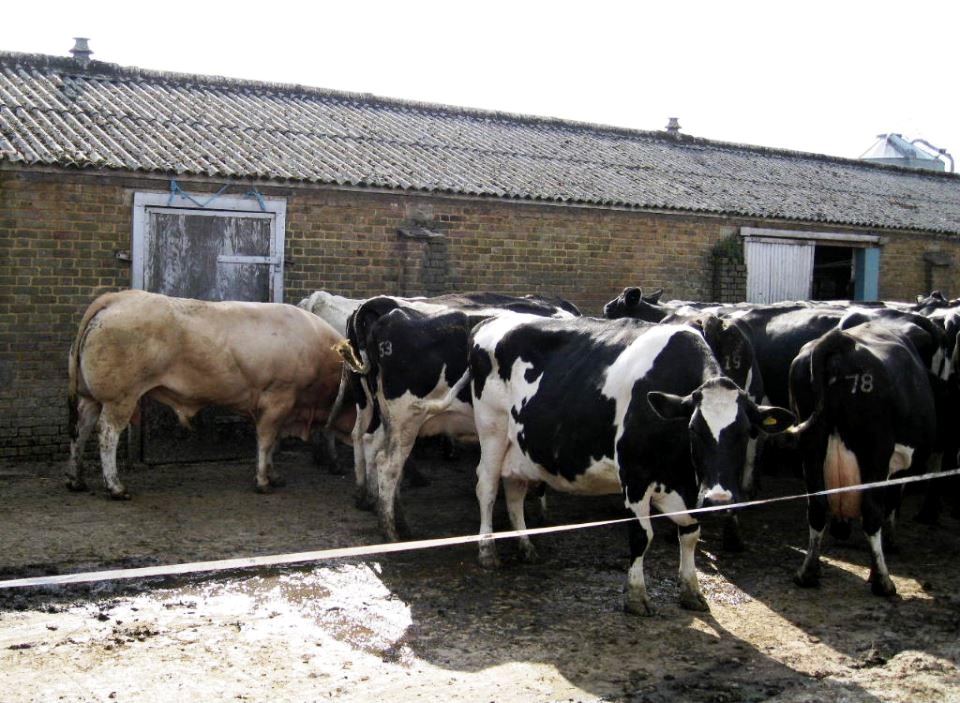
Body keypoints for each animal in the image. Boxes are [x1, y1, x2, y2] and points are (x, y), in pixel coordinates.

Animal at [67, 290, 355, 498]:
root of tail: (118, 297)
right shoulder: (278, 399)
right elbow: (265, 441)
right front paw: (263, 480)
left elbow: (273, 442)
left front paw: (274, 475)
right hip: (119, 398)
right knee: (107, 434)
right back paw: (115, 486)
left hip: (91, 397)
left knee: (81, 430)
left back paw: (76, 480)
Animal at [339, 292, 580, 541]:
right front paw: (539, 514)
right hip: (404, 418)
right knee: (388, 464)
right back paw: (391, 531)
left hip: (380, 412)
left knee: (367, 440)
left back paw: (379, 507)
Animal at [468, 313, 794, 614]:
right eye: (694, 429)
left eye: (746, 432)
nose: (719, 500)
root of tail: (492, 319)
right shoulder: (635, 475)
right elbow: (641, 536)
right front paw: (636, 596)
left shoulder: (691, 486)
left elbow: (691, 535)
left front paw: (691, 591)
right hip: (492, 429)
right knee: (487, 487)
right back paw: (487, 551)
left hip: (520, 447)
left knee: (514, 491)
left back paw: (525, 545)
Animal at [789, 321, 938, 596]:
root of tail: (840, 342)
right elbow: (891, 505)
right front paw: (890, 543)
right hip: (874, 448)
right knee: (871, 511)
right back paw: (883, 581)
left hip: (811, 443)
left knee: (817, 506)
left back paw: (807, 573)